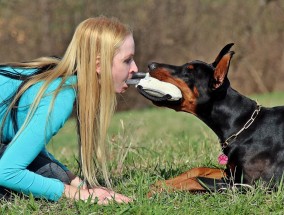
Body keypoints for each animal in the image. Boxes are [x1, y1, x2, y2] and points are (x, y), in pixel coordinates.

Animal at [143, 43, 284, 191]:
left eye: (188, 72)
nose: (151, 65)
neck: (242, 125)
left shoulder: (252, 185)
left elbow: (196, 179)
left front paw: (158, 189)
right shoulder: (230, 173)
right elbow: (198, 169)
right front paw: (161, 183)